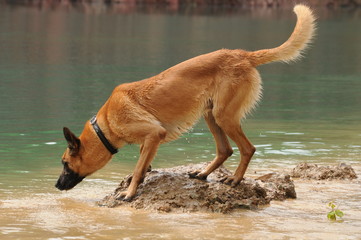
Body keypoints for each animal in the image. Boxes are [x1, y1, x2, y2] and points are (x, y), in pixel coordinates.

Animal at [54, 5, 314, 201]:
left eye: (65, 163)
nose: (56, 185)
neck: (106, 123)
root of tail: (242, 55)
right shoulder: (149, 141)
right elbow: (143, 164)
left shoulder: (153, 134)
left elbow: (138, 169)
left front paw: (129, 193)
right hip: (211, 116)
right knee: (225, 150)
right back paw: (203, 173)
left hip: (224, 117)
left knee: (247, 149)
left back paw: (235, 179)